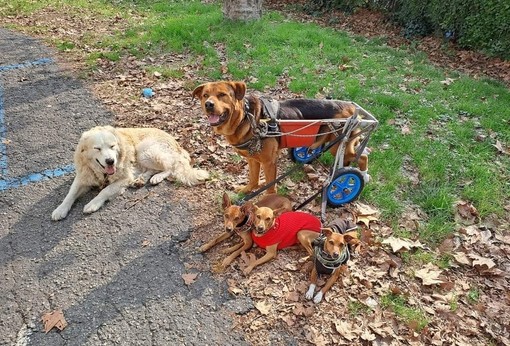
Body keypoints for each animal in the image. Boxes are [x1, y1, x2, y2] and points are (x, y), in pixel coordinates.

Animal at [52, 125, 209, 220]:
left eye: (112, 146)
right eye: (97, 148)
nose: (110, 161)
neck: (101, 172)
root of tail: (177, 144)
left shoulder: (123, 178)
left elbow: (105, 191)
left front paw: (93, 203)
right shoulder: (83, 177)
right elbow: (70, 194)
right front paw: (60, 209)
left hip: (144, 150)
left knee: (169, 167)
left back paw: (156, 177)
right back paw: (140, 179)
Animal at [193, 80, 368, 195]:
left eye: (222, 95)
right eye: (205, 95)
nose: (208, 104)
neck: (246, 117)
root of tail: (353, 109)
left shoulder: (269, 162)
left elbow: (270, 188)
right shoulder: (253, 159)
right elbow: (253, 179)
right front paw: (247, 190)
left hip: (339, 144)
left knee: (362, 156)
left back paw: (363, 176)